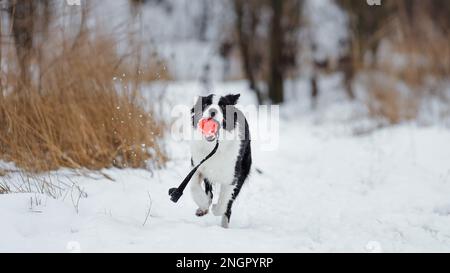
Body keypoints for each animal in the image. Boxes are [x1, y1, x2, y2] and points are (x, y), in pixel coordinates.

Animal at [190, 93, 251, 227]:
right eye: (206, 104)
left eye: (223, 106)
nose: (212, 111)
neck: (214, 146)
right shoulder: (198, 165)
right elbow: (194, 187)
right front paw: (203, 204)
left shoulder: (232, 176)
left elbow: (224, 201)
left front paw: (215, 209)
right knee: (209, 191)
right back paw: (203, 209)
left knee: (228, 205)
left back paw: (224, 225)